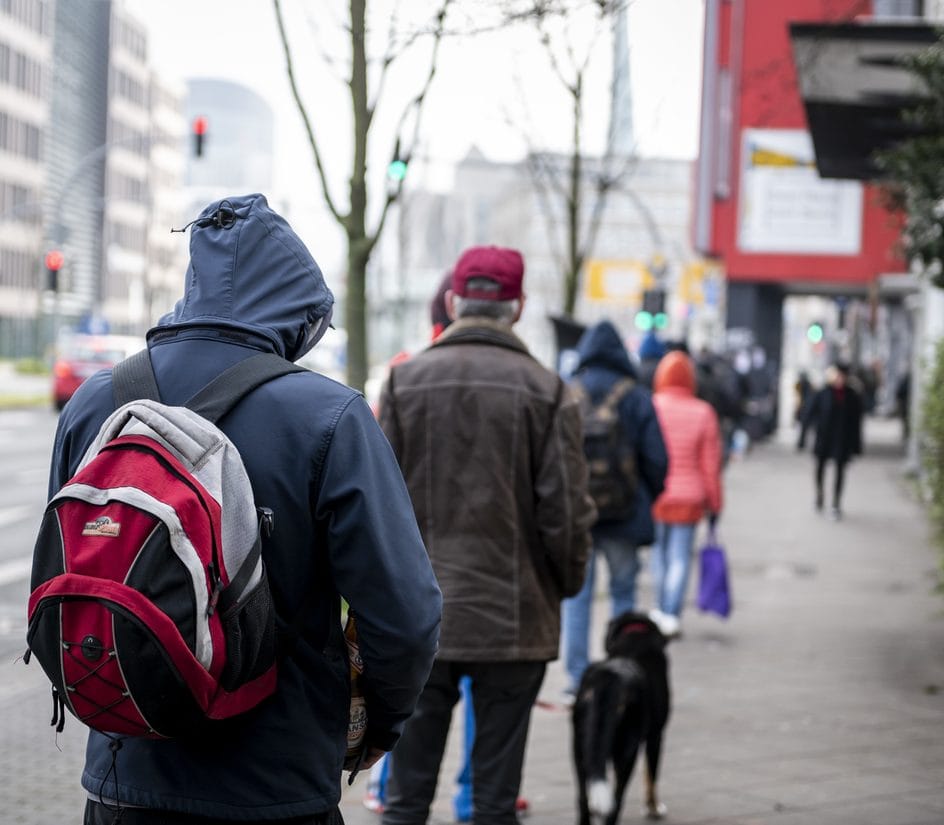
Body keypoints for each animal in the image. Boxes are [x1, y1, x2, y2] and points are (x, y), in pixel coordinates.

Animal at [568, 608, 672, 820]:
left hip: (580, 747)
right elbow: (652, 775)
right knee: (616, 803)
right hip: (627, 751)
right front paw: (654, 808)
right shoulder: (655, 735)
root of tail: (610, 678)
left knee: (582, 799)